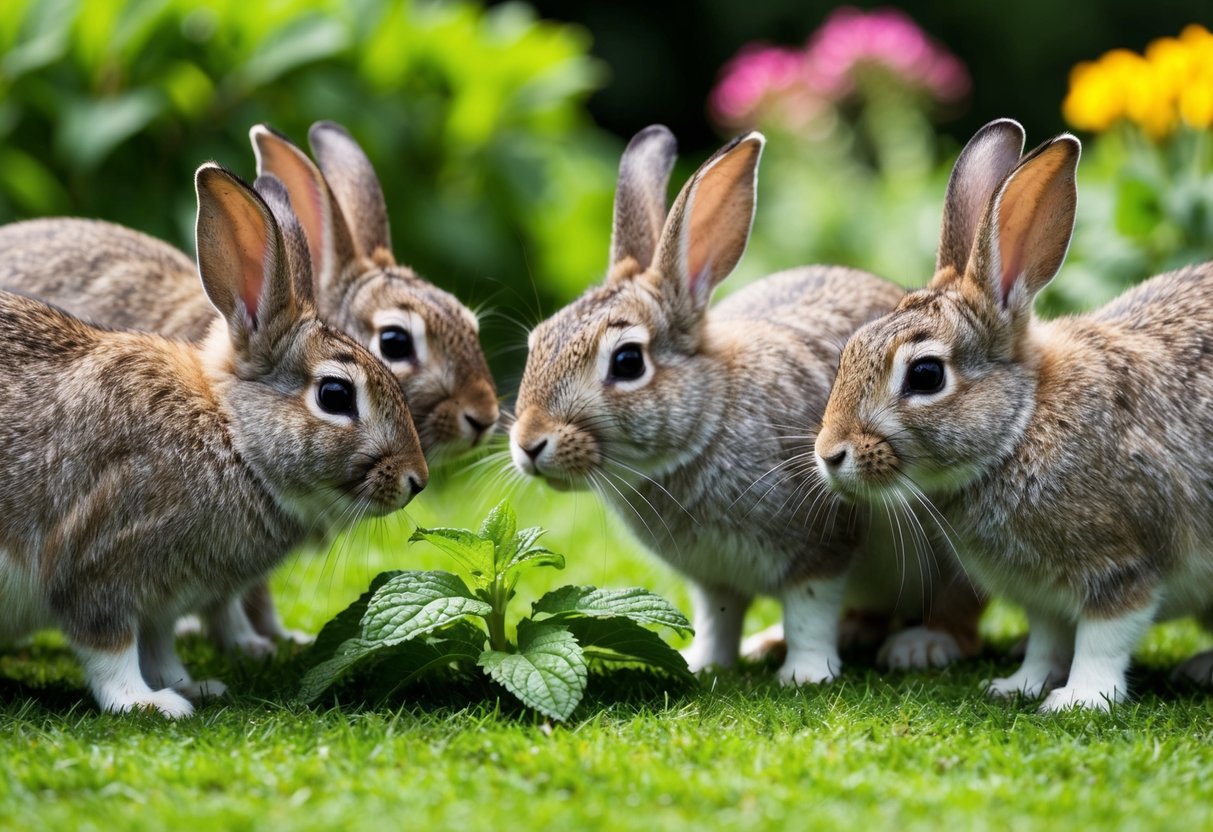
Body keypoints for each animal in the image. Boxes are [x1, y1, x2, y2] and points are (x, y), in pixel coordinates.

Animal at [0, 120, 497, 654]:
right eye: (395, 342)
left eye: (468, 323)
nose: (484, 417)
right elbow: (227, 594)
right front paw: (250, 645)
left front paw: (276, 637)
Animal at [508, 125, 985, 684]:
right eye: (538, 340)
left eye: (627, 362)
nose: (528, 444)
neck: (708, 423)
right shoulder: (714, 579)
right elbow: (719, 618)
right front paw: (705, 665)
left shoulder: (820, 543)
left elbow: (809, 609)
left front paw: (805, 675)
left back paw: (921, 646)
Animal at [815, 117, 1213, 711]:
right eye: (849, 350)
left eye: (925, 375)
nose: (829, 455)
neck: (1021, 427)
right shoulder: (1041, 593)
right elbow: (1047, 636)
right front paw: (1018, 685)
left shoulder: (1122, 562)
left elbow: (1105, 636)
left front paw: (1080, 699)